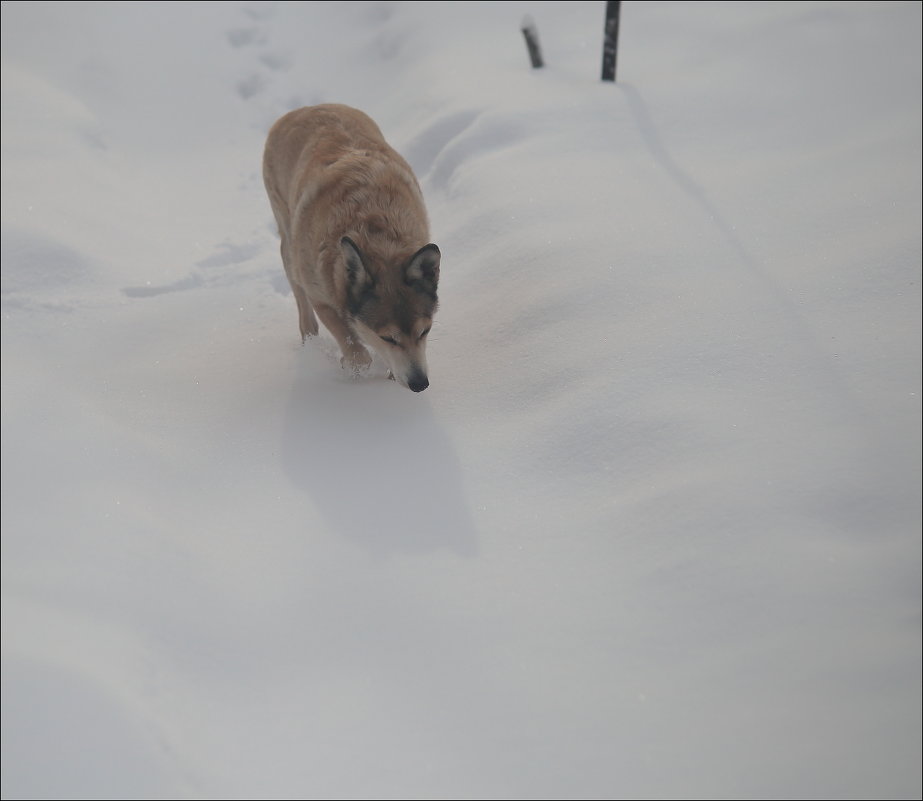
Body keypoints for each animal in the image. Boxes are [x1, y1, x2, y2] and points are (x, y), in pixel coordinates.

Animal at [264, 104, 440, 392]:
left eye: (425, 331)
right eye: (388, 337)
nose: (419, 384)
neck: (375, 234)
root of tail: (304, 109)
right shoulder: (321, 295)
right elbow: (355, 349)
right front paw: (354, 370)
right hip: (286, 231)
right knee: (298, 293)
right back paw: (310, 343)